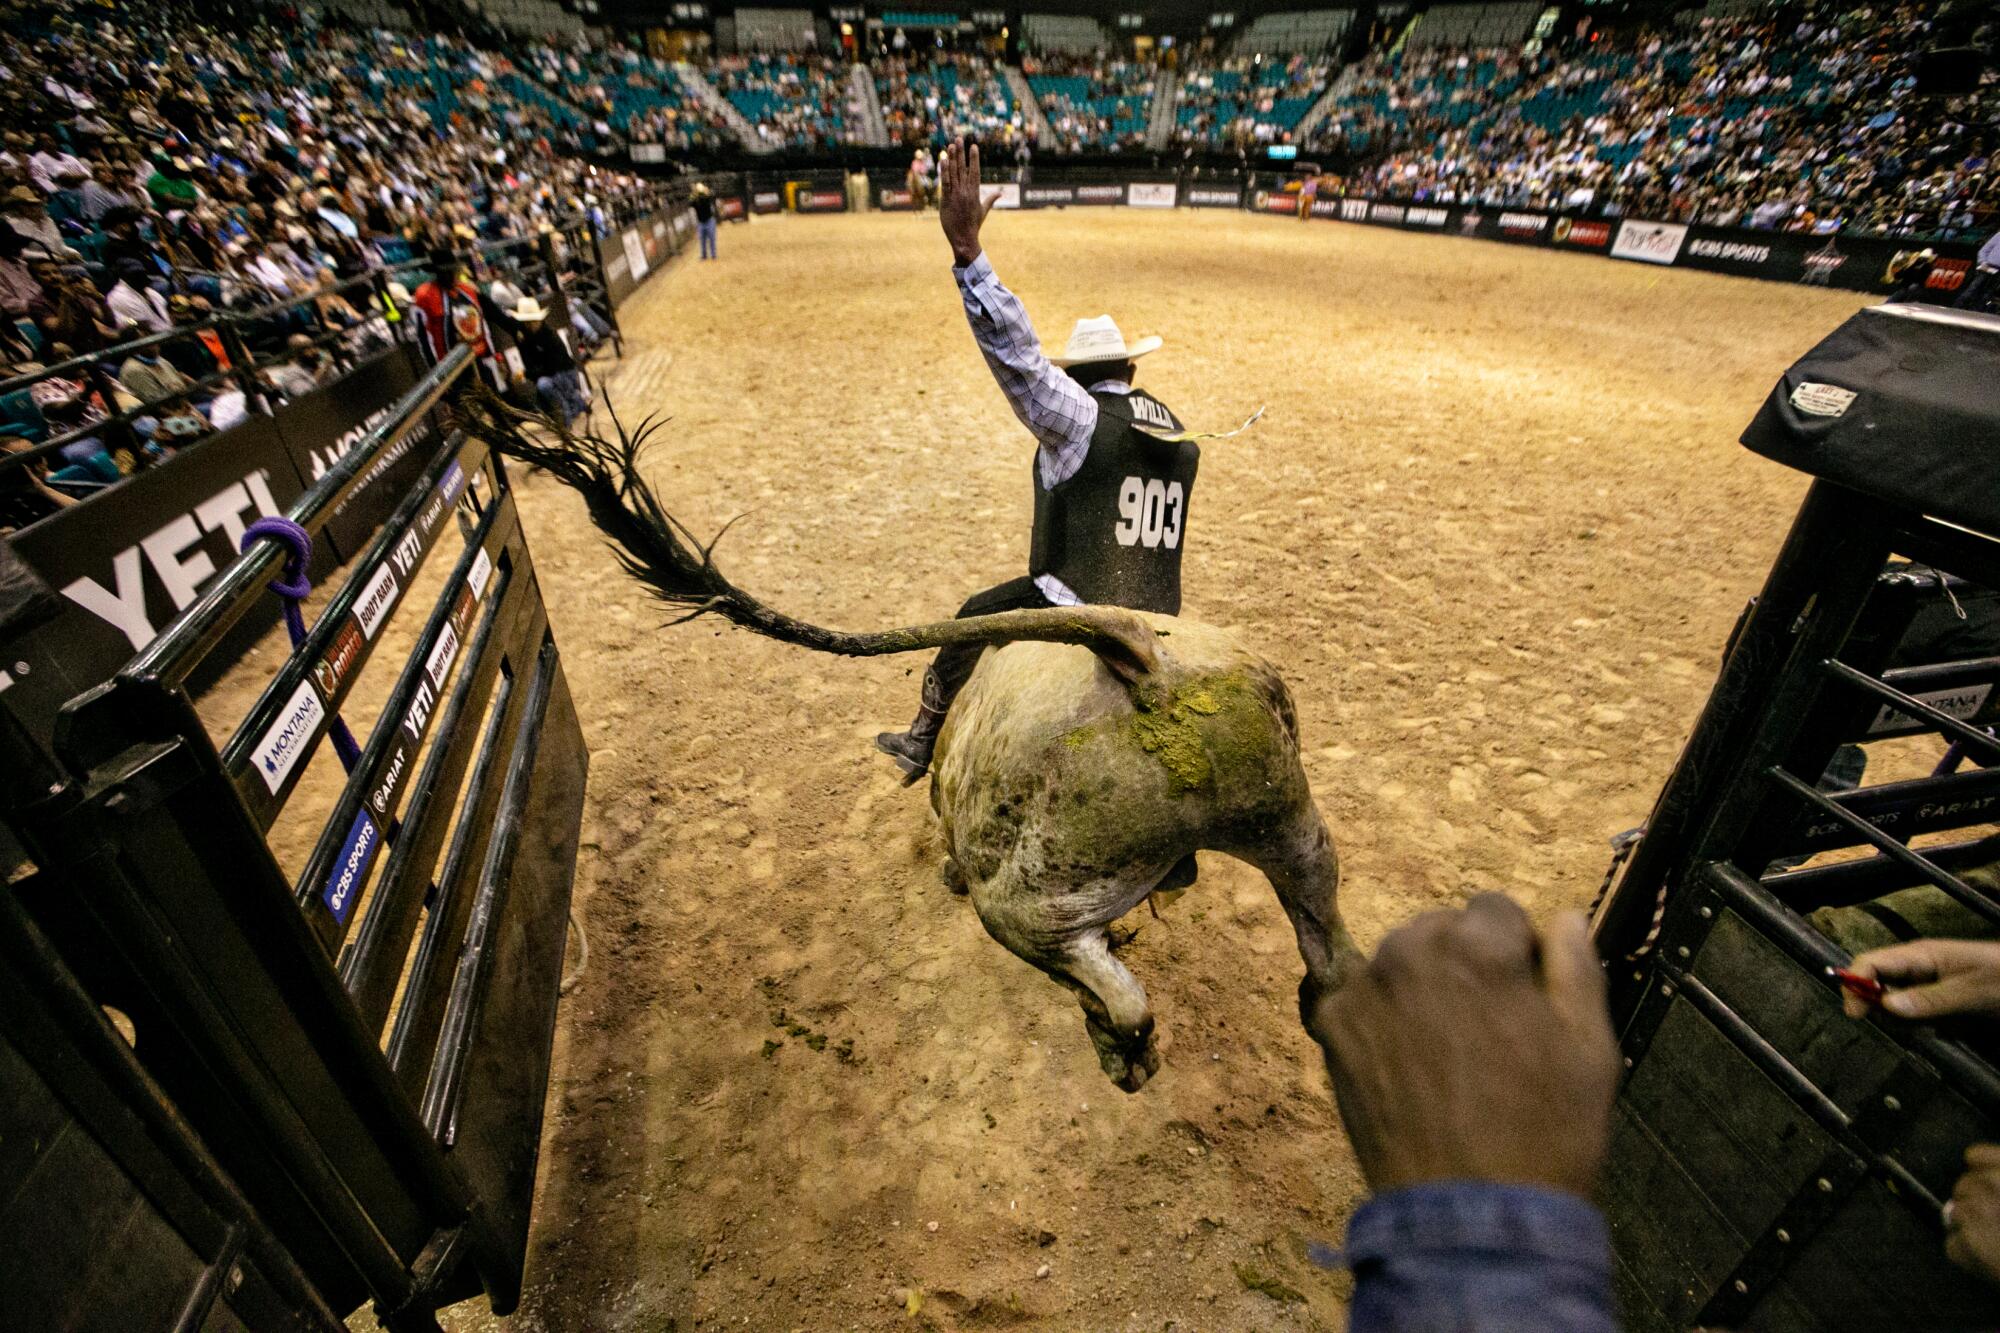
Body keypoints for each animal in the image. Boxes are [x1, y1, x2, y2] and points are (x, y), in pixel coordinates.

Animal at [472, 400, 1360, 1088]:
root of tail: (1144, 658)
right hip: (1289, 826)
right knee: (1324, 949)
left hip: (1036, 897)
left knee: (1114, 988)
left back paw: (1120, 1048)